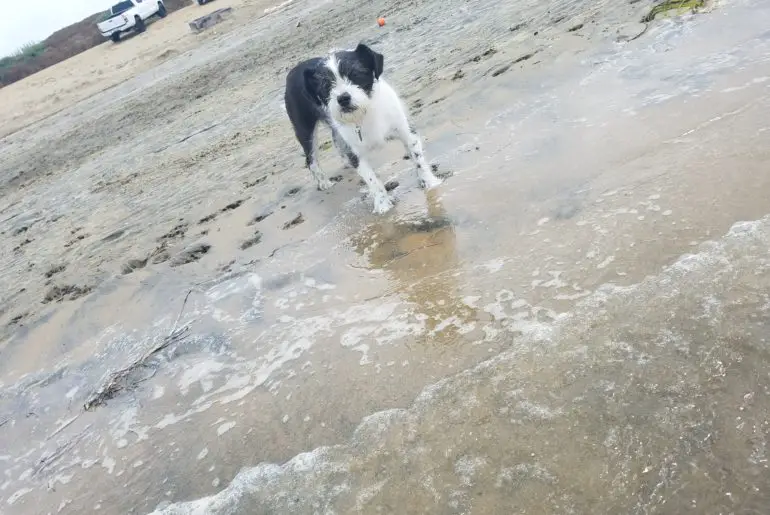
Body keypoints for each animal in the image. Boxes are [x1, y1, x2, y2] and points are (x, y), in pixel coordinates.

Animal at [284, 41, 440, 216]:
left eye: (356, 73)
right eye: (326, 85)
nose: (343, 98)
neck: (365, 113)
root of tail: (293, 70)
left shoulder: (406, 132)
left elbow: (418, 159)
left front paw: (429, 182)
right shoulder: (356, 153)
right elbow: (372, 179)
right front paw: (382, 204)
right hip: (304, 128)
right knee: (310, 158)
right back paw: (323, 182)